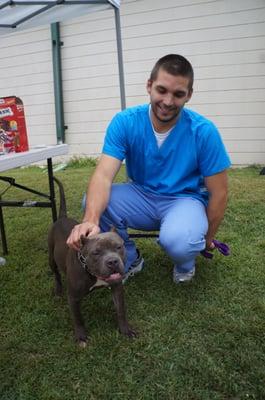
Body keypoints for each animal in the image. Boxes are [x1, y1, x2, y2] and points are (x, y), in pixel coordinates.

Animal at [47, 178, 136, 346]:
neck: (91, 272)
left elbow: (121, 311)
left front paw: (125, 330)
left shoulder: (117, 288)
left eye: (119, 247)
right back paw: (58, 290)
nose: (112, 262)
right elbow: (78, 318)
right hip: (51, 259)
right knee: (56, 274)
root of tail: (61, 218)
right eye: (96, 252)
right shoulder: (73, 298)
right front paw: (81, 336)